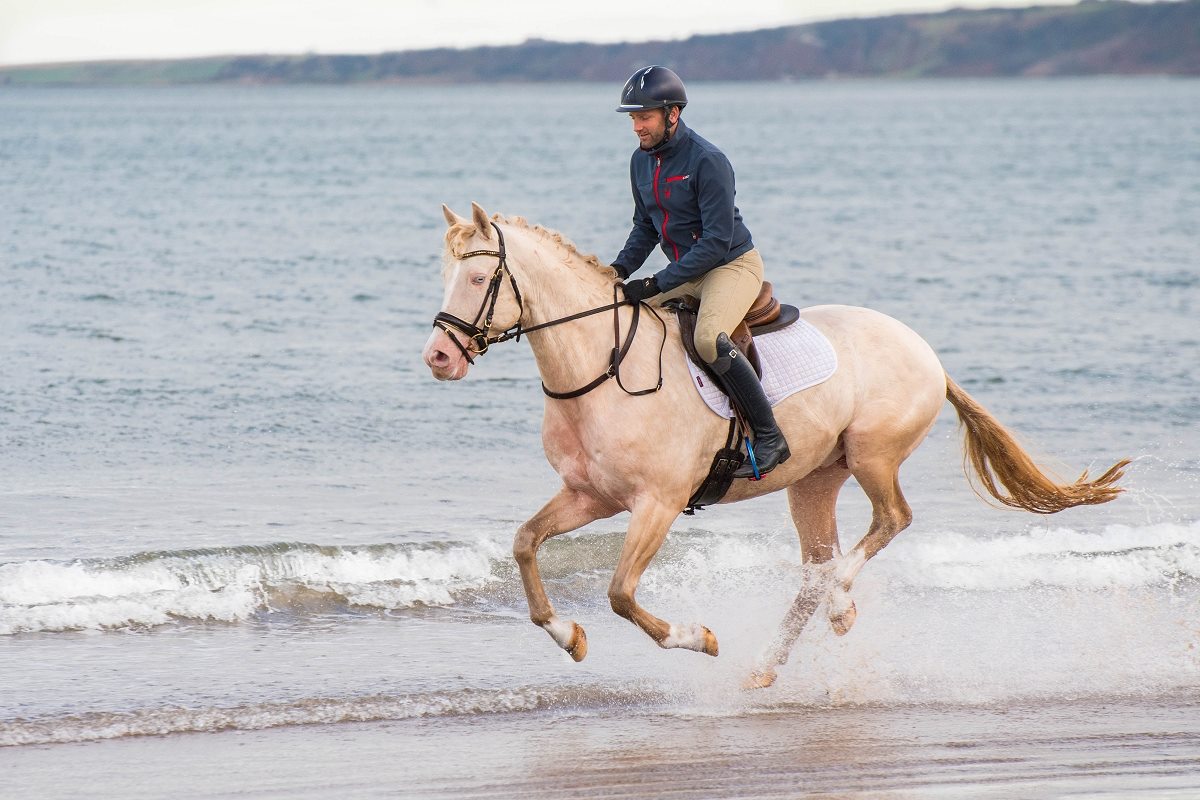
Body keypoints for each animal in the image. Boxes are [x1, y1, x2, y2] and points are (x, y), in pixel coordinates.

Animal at [422, 203, 1123, 686]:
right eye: (445, 275)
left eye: (480, 277)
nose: (438, 358)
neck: (603, 368)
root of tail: (925, 350)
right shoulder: (589, 497)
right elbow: (524, 544)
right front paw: (568, 635)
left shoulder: (657, 503)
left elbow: (621, 592)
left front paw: (699, 638)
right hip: (815, 480)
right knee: (815, 569)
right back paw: (766, 665)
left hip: (872, 456)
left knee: (888, 522)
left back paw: (839, 606)